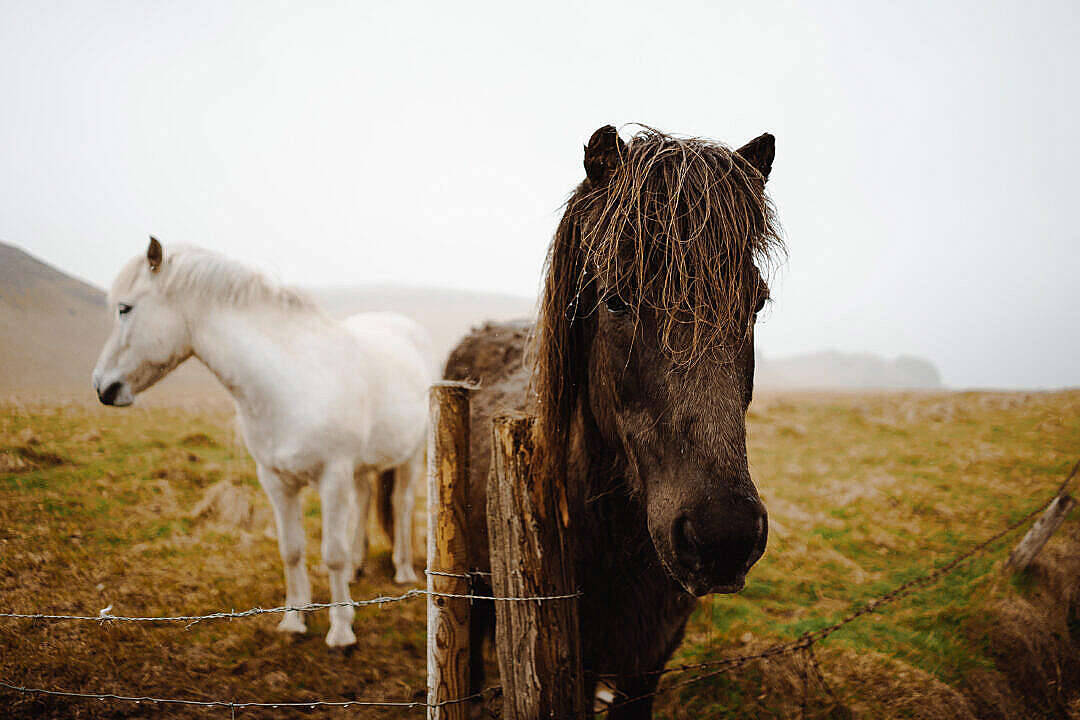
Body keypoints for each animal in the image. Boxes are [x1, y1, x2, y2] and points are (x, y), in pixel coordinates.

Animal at [91, 236, 429, 647]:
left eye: (125, 308)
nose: (103, 387)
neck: (289, 379)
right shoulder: (276, 481)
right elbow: (291, 550)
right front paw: (294, 620)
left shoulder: (332, 477)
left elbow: (331, 553)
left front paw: (341, 630)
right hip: (362, 467)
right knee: (364, 501)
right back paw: (356, 568)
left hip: (412, 454)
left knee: (402, 504)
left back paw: (402, 570)